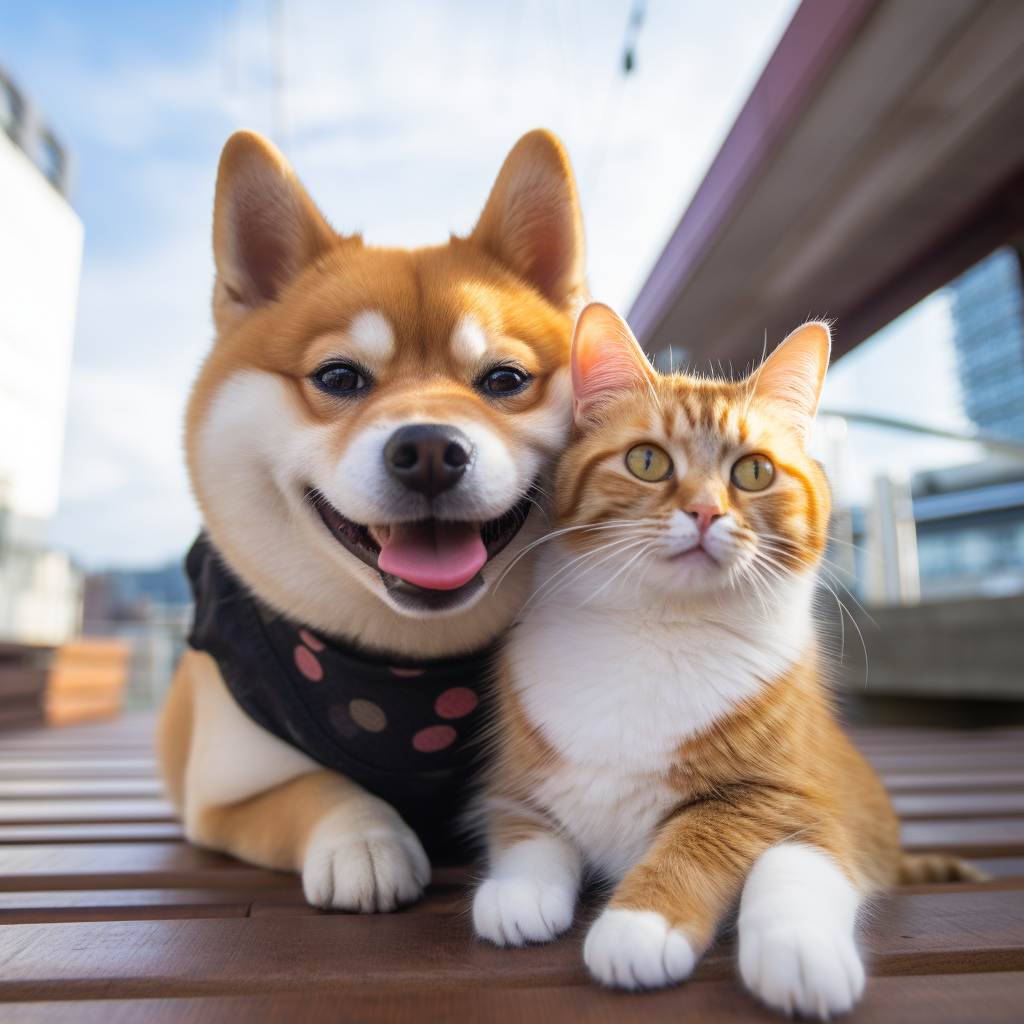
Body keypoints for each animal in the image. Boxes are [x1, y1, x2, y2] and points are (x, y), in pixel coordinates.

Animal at [160, 125, 593, 913]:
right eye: (339, 377)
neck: (404, 667)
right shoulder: (226, 796)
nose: (429, 451)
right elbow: (318, 788)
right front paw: (363, 838)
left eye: (504, 379)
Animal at [471, 301, 974, 1015]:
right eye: (647, 460)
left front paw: (658, 927)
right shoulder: (514, 782)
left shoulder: (791, 801)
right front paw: (519, 894)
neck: (659, 631)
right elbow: (528, 833)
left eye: (754, 471)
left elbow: (724, 849)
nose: (706, 511)